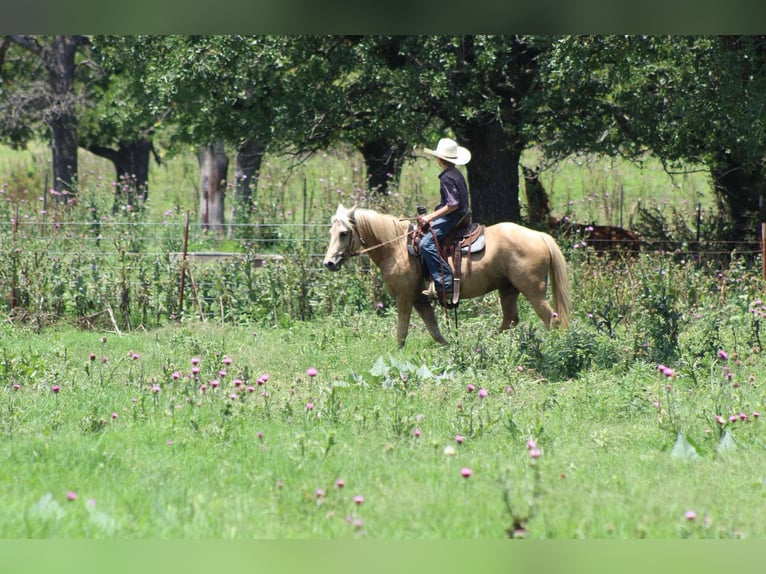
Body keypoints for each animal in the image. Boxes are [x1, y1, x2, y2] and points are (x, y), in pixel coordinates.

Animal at [322, 204, 571, 348]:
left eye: (343, 233)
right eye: (331, 232)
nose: (329, 263)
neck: (397, 247)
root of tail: (539, 236)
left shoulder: (404, 297)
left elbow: (402, 332)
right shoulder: (419, 298)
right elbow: (434, 330)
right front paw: (450, 348)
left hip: (533, 291)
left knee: (552, 319)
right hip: (508, 289)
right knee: (510, 320)